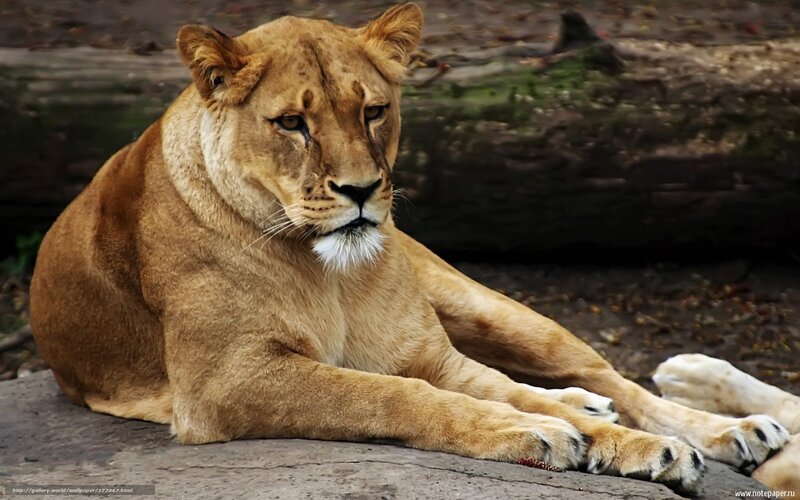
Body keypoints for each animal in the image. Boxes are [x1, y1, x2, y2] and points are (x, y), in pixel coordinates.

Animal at [29, 4, 788, 495]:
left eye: (373, 110)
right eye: (292, 123)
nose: (362, 191)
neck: (328, 273)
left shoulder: (428, 354)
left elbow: (483, 390)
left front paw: (640, 446)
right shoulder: (226, 381)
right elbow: (396, 396)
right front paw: (543, 434)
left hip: (486, 303)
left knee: (609, 376)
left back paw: (733, 430)